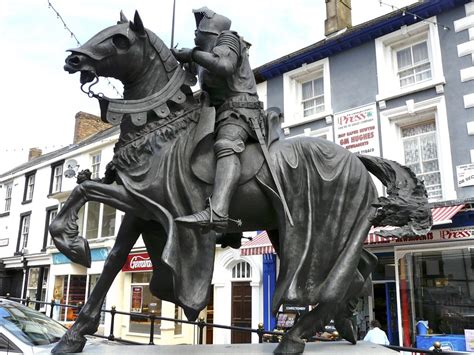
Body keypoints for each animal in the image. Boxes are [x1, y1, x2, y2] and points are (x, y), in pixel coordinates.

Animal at [50, 10, 432, 354]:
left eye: (119, 39)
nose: (73, 58)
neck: (161, 128)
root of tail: (356, 159)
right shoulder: (143, 208)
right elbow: (113, 260)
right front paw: (75, 335)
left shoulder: (145, 199)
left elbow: (84, 190)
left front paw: (73, 244)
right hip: (308, 230)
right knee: (361, 268)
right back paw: (343, 325)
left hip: (324, 230)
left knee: (337, 281)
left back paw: (295, 338)